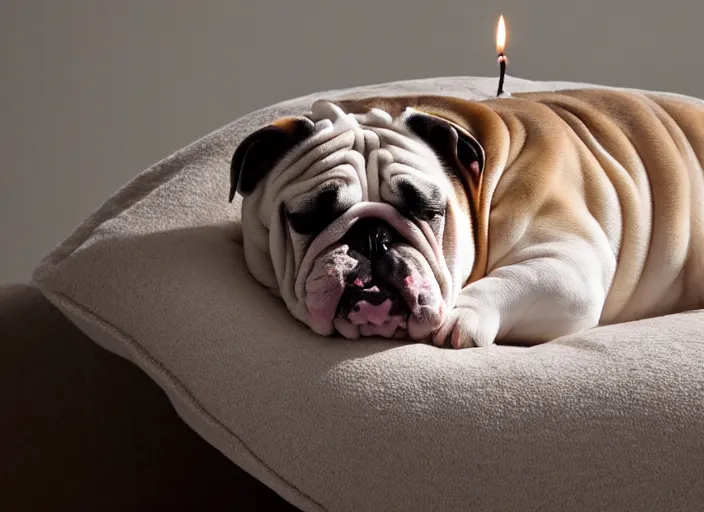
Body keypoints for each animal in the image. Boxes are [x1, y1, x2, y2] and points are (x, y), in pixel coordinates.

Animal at [230, 90, 704, 350]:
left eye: (428, 211)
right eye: (308, 217)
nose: (372, 235)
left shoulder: (570, 262)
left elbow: (516, 278)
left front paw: (463, 315)